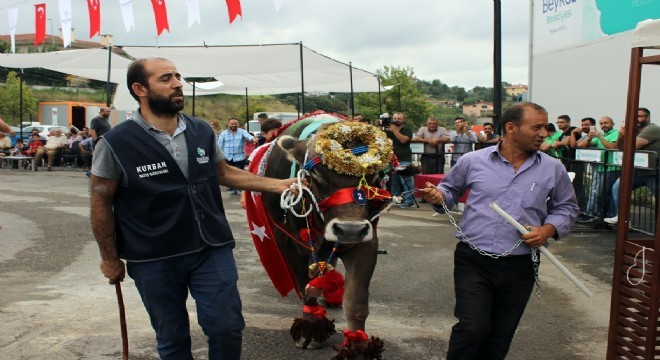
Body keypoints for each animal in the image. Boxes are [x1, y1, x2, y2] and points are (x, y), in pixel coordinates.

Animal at [246, 116, 392, 360]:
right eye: (317, 176)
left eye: (372, 176)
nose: (349, 229)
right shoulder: (288, 244)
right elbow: (306, 288)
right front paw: (309, 331)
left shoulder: (366, 242)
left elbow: (356, 302)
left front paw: (358, 347)